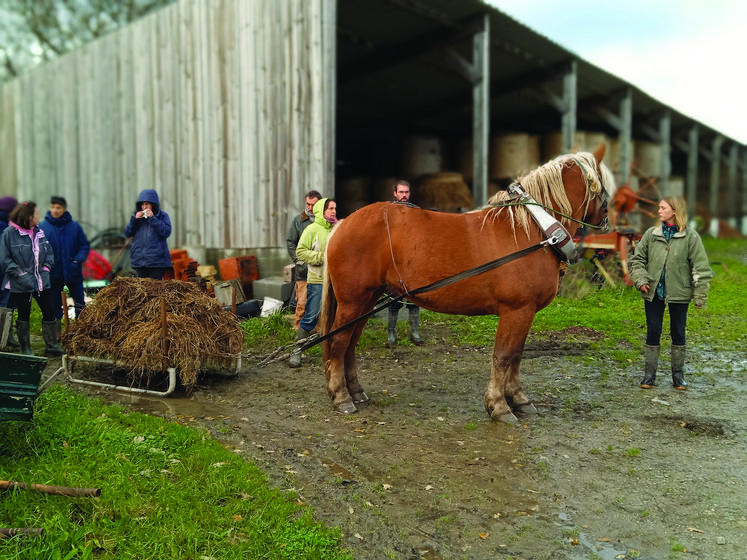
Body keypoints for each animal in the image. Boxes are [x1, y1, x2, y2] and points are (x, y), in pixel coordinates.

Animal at [320, 142, 612, 422]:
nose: (606, 226)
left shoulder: (525, 313)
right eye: (605, 188)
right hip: (353, 301)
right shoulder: (516, 310)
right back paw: (341, 396)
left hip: (367, 300)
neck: (534, 230)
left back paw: (355, 391)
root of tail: (344, 222)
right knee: (339, 342)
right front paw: (499, 405)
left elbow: (517, 355)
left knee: (350, 342)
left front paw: (518, 399)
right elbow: (504, 356)